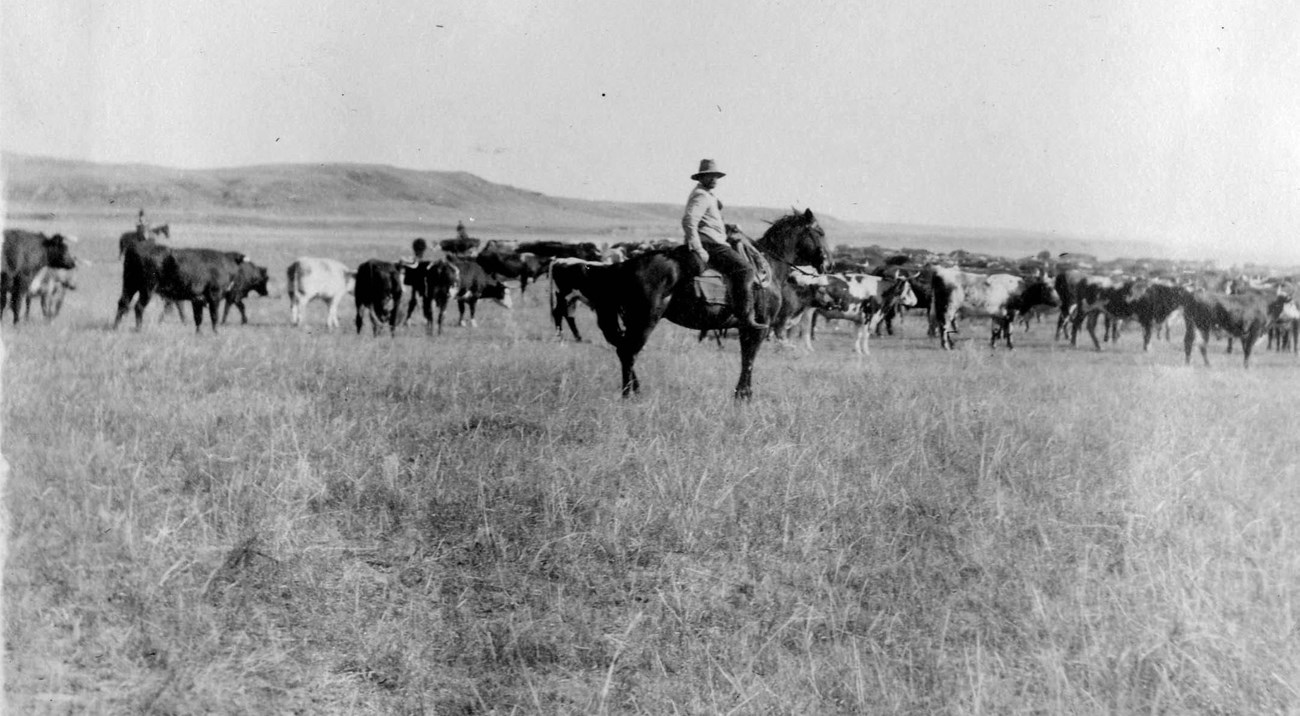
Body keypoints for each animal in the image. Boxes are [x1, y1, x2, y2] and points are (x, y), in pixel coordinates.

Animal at [592, 210, 826, 400]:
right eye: (821, 233)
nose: (827, 263)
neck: (768, 268)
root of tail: (624, 265)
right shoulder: (759, 327)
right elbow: (750, 359)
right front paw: (744, 396)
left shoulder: (745, 328)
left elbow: (745, 358)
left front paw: (741, 394)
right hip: (645, 320)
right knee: (628, 352)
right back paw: (631, 394)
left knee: (624, 351)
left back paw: (633, 391)